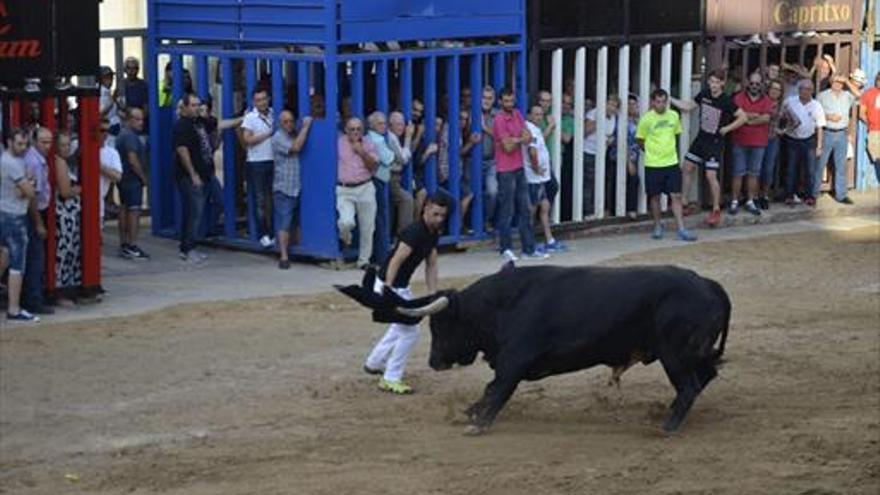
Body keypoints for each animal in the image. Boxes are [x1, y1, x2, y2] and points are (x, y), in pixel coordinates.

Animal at [336, 264, 728, 434]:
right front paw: (471, 412)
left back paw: (668, 425)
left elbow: (497, 390)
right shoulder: (508, 363)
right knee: (705, 377)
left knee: (690, 385)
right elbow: (490, 389)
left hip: (674, 354)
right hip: (692, 354)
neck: (501, 304)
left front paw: (478, 423)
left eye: (441, 325)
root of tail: (709, 285)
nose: (435, 362)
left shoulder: (514, 360)